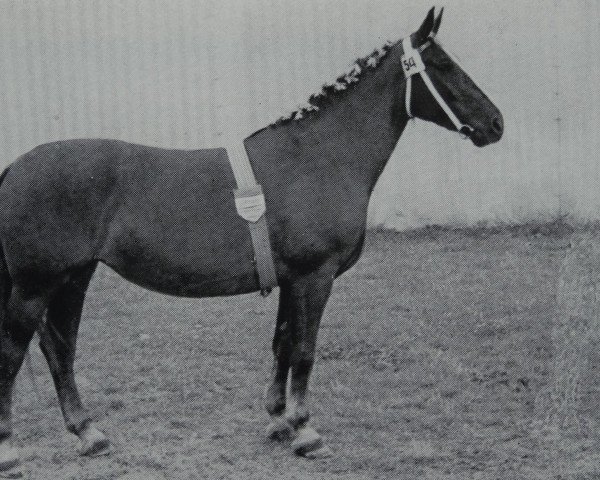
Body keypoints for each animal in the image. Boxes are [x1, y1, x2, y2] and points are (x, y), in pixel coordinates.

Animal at [0, 6, 502, 472]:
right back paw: (10, 449)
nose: (496, 123)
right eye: (441, 65)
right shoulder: (315, 276)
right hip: (36, 285)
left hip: (73, 278)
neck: (319, 156)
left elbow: (283, 343)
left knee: (59, 348)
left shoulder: (290, 279)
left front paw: (279, 421)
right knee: (14, 349)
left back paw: (90, 433)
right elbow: (305, 350)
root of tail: (14, 167)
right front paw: (306, 432)